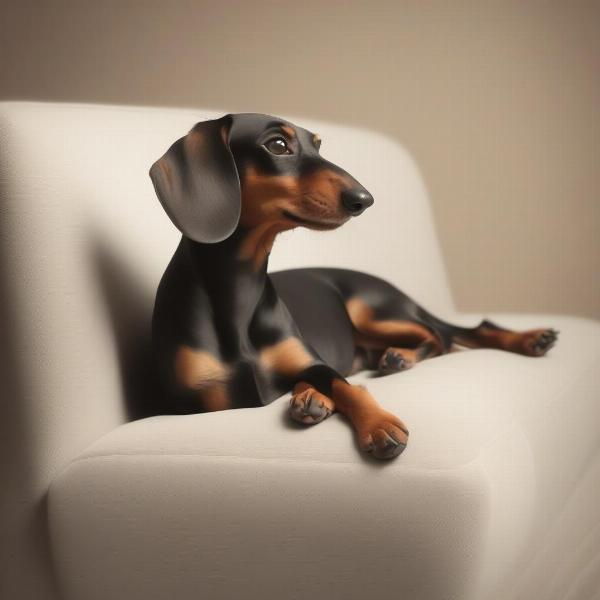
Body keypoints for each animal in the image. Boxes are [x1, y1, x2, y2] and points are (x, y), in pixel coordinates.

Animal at [149, 112, 556, 460]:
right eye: (277, 145)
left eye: (319, 145)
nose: (364, 199)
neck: (239, 290)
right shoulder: (201, 402)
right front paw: (323, 401)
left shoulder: (315, 364)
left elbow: (346, 386)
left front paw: (378, 425)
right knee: (446, 338)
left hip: (372, 312)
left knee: (452, 333)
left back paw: (528, 340)